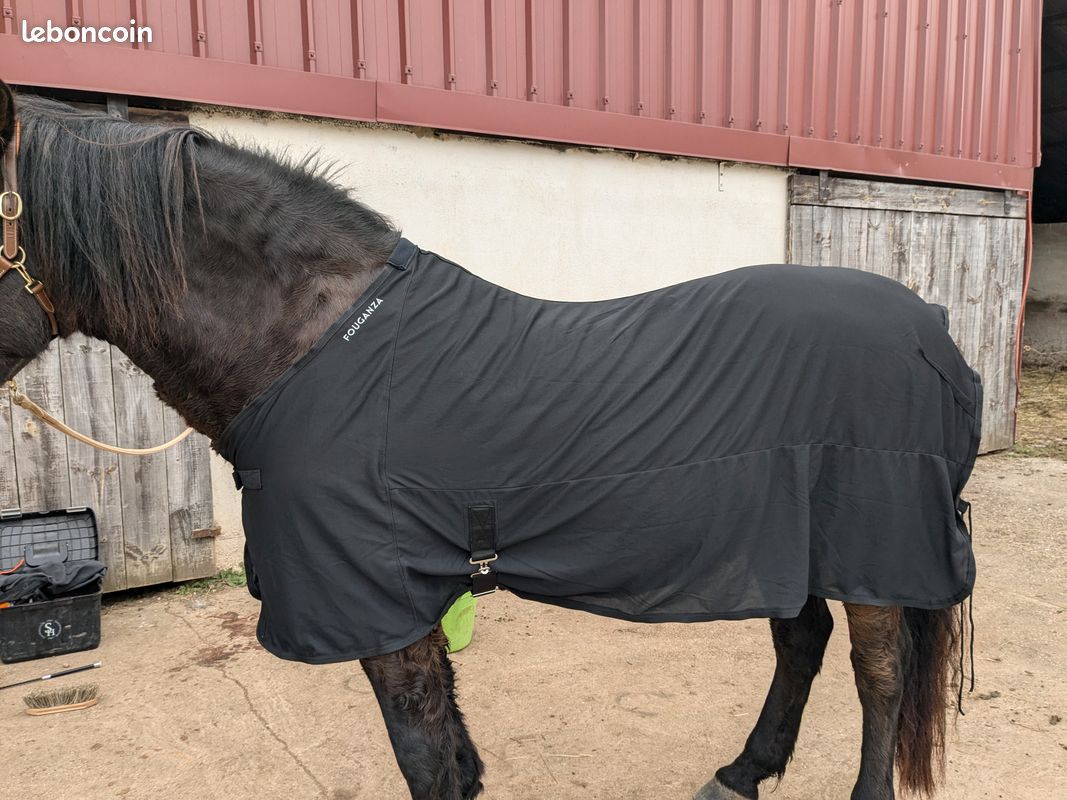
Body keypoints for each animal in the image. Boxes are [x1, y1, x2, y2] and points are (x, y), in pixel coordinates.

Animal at [0, 81, 970, 800]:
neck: (313, 342)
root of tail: (928, 324)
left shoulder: (377, 599)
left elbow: (424, 757)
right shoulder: (404, 597)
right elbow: (453, 757)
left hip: (872, 541)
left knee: (877, 671)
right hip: (782, 535)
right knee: (801, 639)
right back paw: (741, 771)